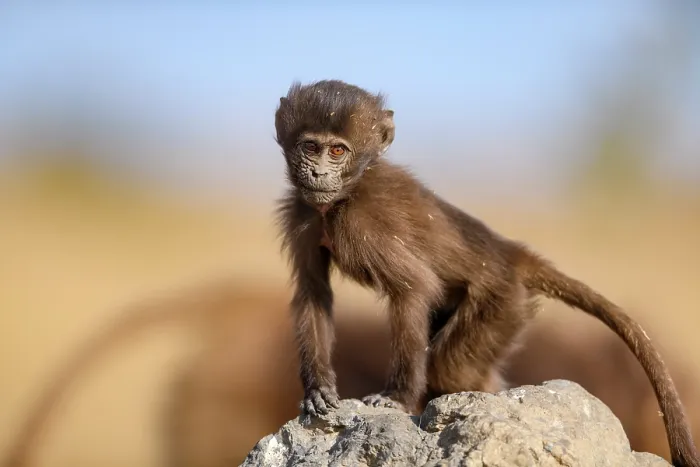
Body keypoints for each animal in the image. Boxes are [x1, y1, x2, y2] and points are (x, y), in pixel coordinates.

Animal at [273, 79, 699, 467]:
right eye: (310, 147)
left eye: (338, 151)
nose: (317, 174)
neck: (343, 196)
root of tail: (506, 251)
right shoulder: (303, 213)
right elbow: (314, 292)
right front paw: (317, 389)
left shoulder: (360, 224)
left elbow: (413, 287)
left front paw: (397, 398)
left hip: (501, 303)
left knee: (451, 366)